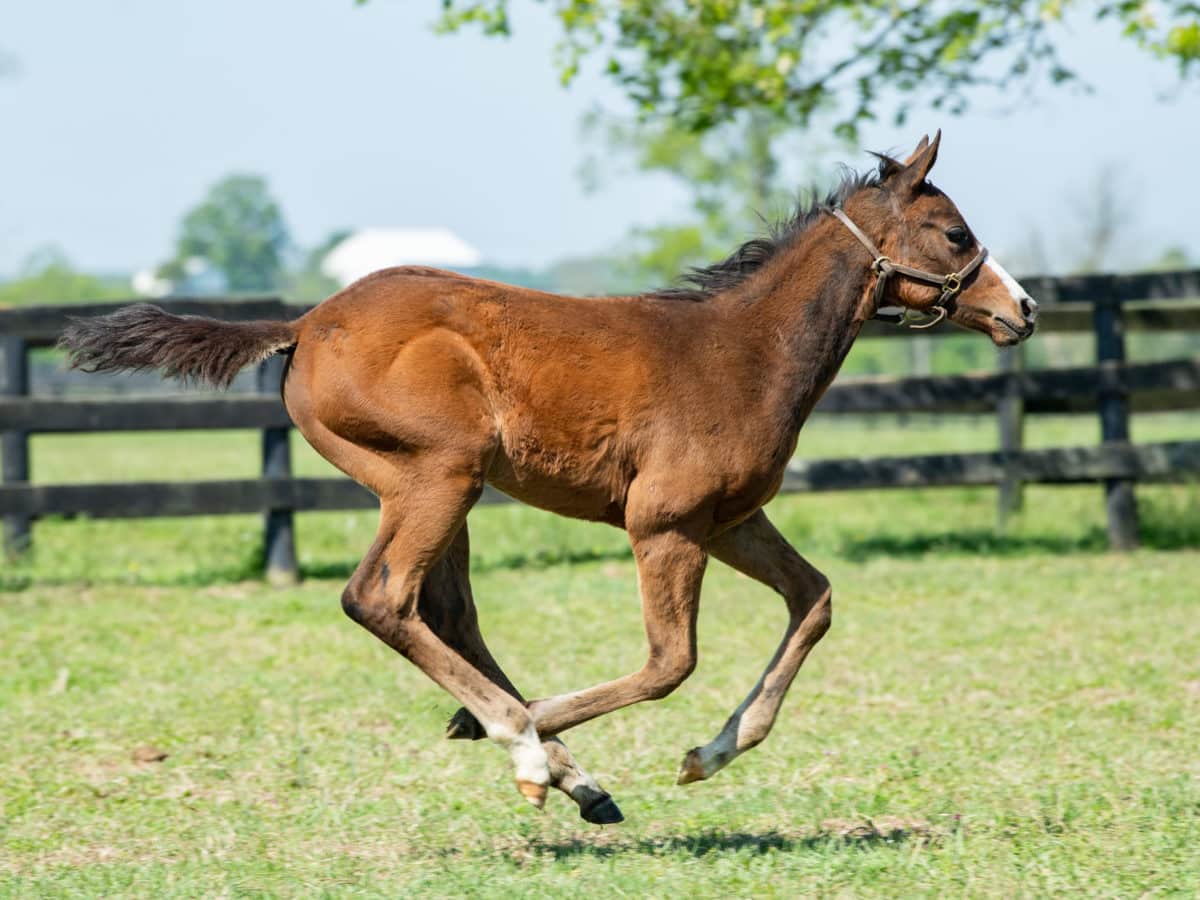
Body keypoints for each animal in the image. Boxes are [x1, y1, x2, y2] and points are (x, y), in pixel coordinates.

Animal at [63, 132, 1041, 825]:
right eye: (955, 233)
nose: (1023, 309)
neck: (743, 354)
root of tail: (304, 324)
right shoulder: (665, 526)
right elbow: (669, 663)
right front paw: (537, 734)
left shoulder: (730, 521)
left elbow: (816, 600)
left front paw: (711, 754)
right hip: (438, 477)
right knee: (380, 598)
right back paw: (532, 751)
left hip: (437, 492)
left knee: (443, 614)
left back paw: (563, 770)